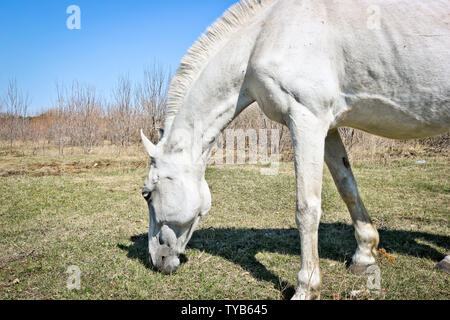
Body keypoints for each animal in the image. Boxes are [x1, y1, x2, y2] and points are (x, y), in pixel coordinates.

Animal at [140, 0, 446, 300]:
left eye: (147, 194)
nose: (156, 260)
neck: (264, 34)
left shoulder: (306, 118)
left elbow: (306, 208)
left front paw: (307, 286)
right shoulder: (327, 127)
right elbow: (347, 186)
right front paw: (364, 255)